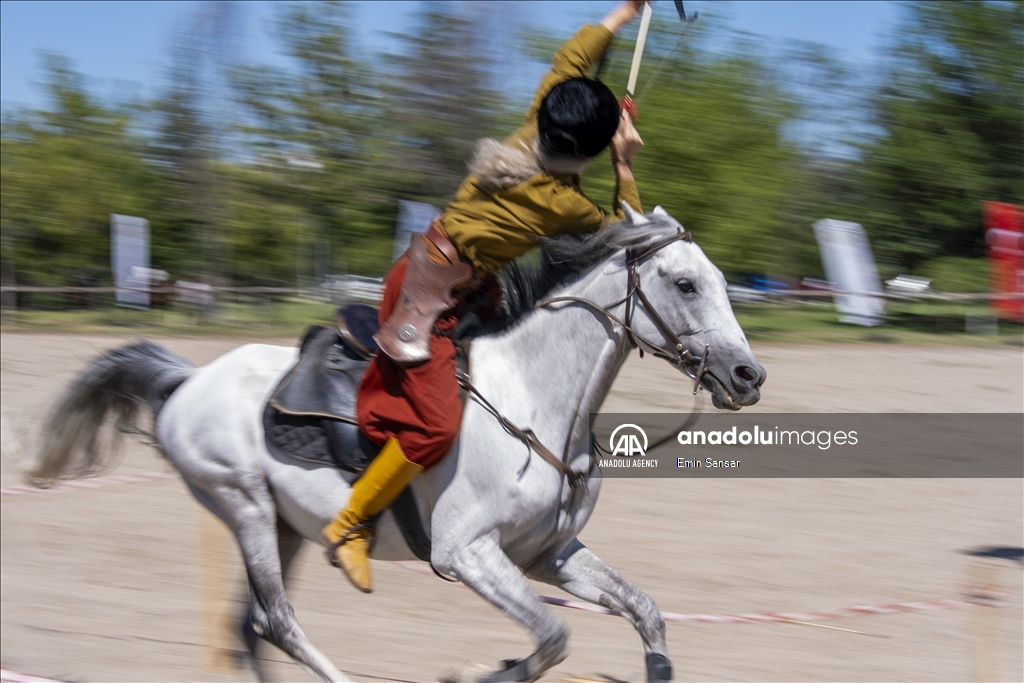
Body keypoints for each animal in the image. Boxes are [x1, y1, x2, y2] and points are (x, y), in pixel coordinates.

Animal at [28, 205, 765, 679]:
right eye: (685, 282)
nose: (748, 375)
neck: (533, 400)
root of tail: (186, 381)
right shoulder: (467, 554)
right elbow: (554, 636)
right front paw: (484, 671)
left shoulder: (548, 554)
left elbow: (646, 614)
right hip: (245, 507)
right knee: (278, 621)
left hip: (286, 525)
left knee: (252, 628)